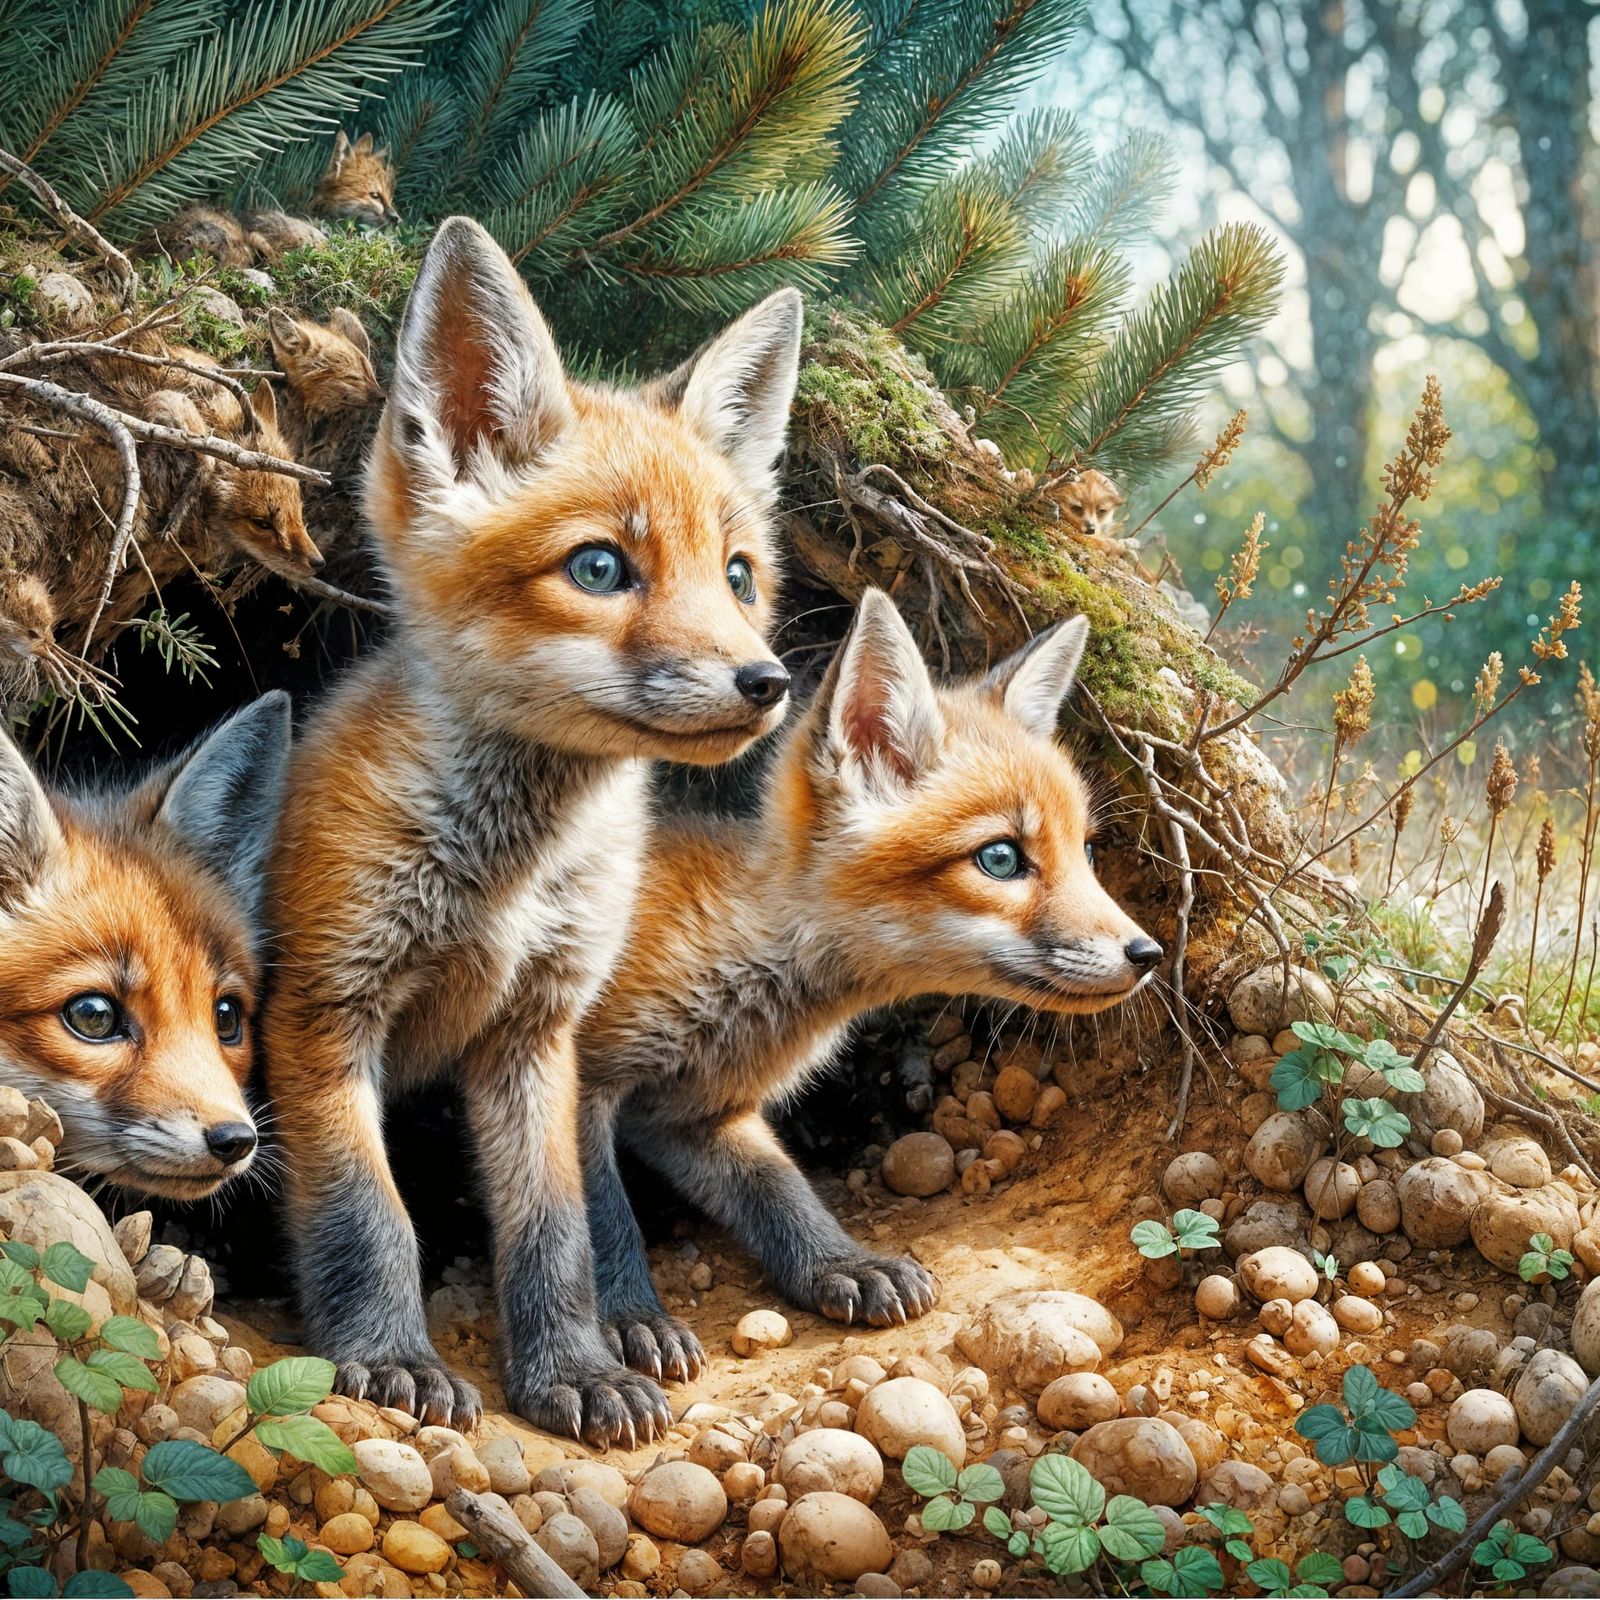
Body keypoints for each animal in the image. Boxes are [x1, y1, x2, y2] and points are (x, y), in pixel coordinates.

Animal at [260, 217, 800, 1442]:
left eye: (739, 576)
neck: (505, 880)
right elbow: (370, 1216)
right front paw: (388, 1359)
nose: (768, 683)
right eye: (600, 567)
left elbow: (556, 1228)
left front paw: (572, 1371)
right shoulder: (323, 1011)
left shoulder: (538, 1031)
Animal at [577, 590, 1163, 1382]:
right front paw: (627, 1316)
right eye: (1001, 858)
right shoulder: (577, 1075)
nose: (1149, 952)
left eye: (1089, 853)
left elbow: (780, 1189)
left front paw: (840, 1263)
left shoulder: (694, 1112)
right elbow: (600, 1219)